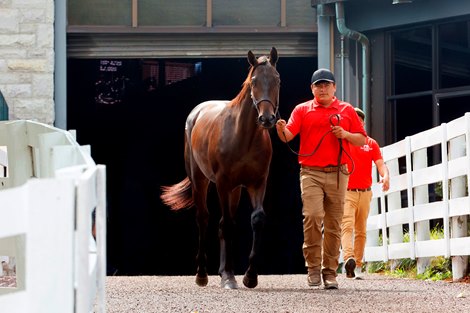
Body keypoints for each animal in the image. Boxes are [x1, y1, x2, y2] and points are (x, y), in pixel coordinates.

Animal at [162, 46, 280, 288]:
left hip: (234, 190)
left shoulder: (257, 183)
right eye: (254, 81)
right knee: (204, 218)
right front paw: (230, 277)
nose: (267, 119)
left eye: (277, 79)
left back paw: (224, 272)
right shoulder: (223, 184)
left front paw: (249, 276)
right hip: (201, 181)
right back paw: (202, 274)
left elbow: (256, 220)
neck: (243, 137)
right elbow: (226, 224)